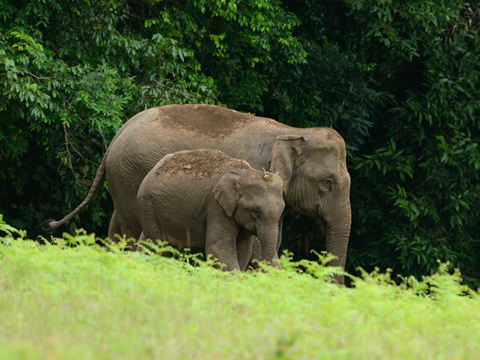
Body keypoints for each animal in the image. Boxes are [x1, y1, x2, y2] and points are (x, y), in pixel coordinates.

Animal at [136, 148, 284, 270]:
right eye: (256, 211)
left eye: (282, 211)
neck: (246, 172)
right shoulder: (216, 207)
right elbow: (218, 248)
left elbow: (244, 250)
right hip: (149, 206)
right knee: (158, 246)